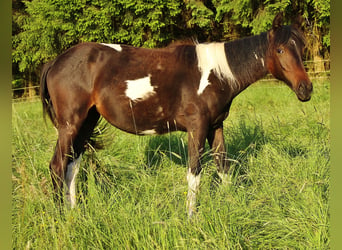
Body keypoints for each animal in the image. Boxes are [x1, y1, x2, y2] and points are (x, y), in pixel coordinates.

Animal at [40, 12, 312, 216]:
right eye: (280, 50)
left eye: (301, 48)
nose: (306, 89)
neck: (216, 74)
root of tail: (56, 62)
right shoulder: (197, 128)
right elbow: (195, 174)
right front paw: (192, 218)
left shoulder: (216, 127)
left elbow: (223, 167)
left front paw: (230, 206)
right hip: (70, 125)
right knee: (57, 166)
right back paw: (60, 217)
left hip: (86, 123)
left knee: (72, 167)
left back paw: (74, 213)